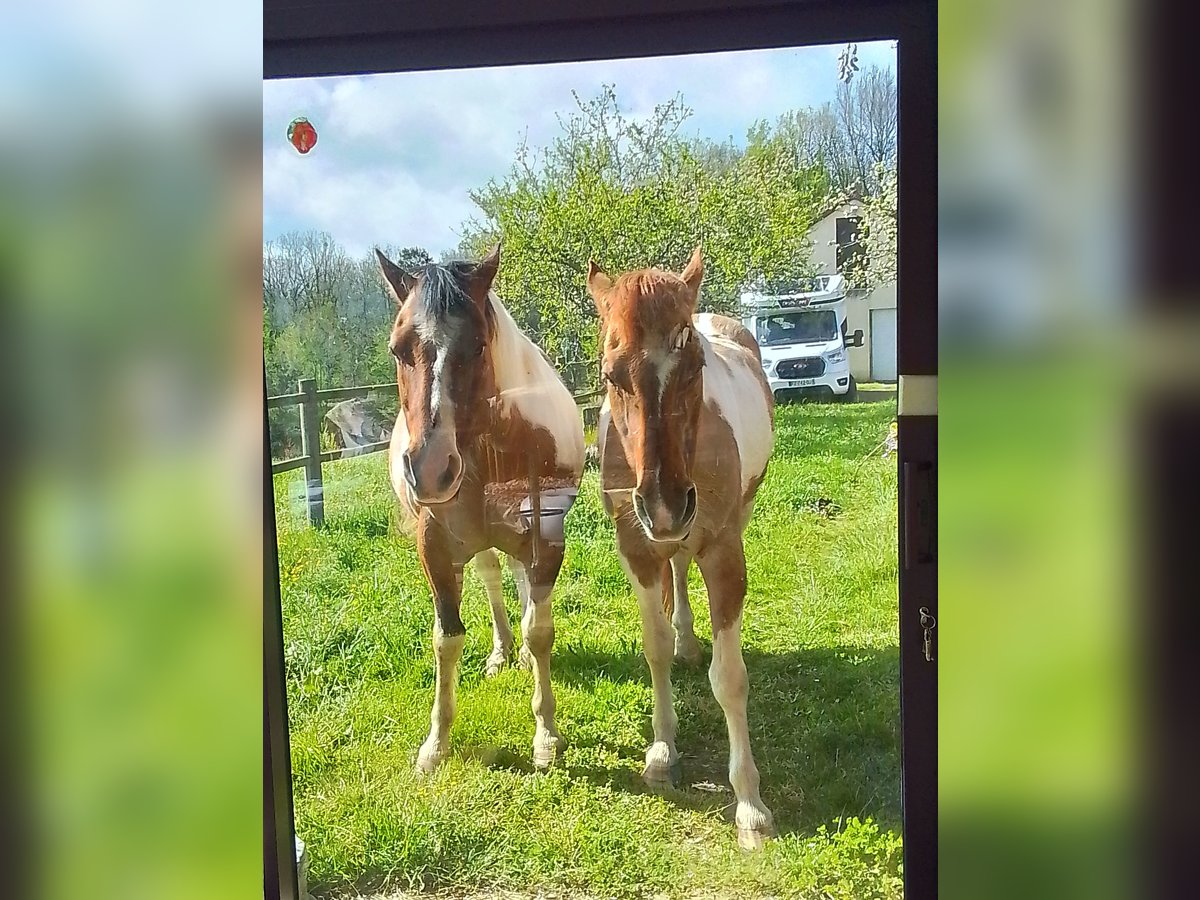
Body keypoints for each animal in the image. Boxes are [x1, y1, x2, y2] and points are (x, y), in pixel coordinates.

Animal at [372, 243, 583, 772]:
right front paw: (435, 745)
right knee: (491, 574)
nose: (430, 470)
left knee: (519, 581)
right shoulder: (435, 551)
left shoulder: (546, 539)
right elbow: (446, 639)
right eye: (398, 349)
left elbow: (540, 629)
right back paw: (501, 651)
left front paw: (546, 736)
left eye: (478, 347)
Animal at [585, 248, 772, 854]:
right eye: (610, 376)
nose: (665, 503)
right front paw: (662, 752)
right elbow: (655, 649)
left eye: (694, 369)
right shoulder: (637, 549)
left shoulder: (724, 552)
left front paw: (750, 805)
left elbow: (729, 679)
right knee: (677, 568)